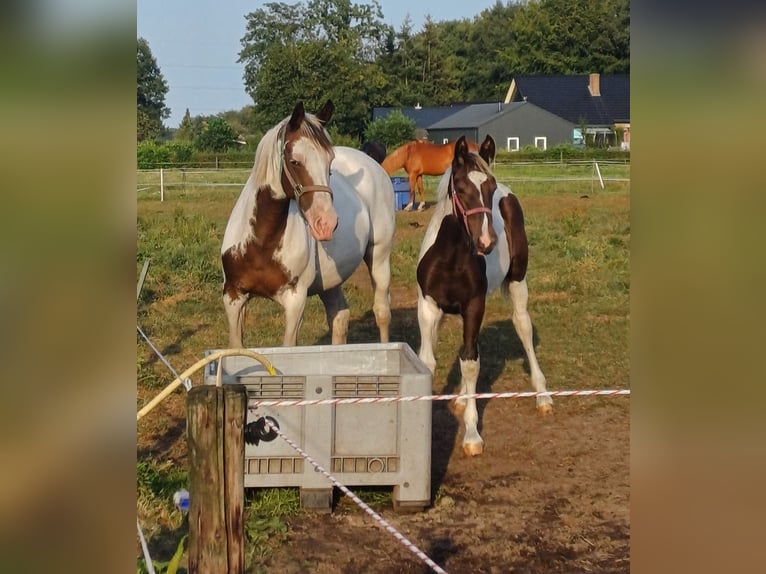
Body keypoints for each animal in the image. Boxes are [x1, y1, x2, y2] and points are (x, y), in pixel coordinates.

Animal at [222, 101, 396, 348]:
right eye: (295, 161)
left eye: (329, 161)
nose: (326, 223)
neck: (261, 243)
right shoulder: (233, 297)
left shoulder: (295, 301)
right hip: (332, 279)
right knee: (339, 315)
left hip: (379, 256)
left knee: (381, 312)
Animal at [416, 135, 556, 460]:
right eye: (460, 187)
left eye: (489, 188)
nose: (486, 242)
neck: (450, 256)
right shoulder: (428, 306)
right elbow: (429, 361)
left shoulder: (474, 306)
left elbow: (471, 364)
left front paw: (471, 435)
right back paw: (460, 398)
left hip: (518, 282)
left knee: (523, 327)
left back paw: (542, 395)